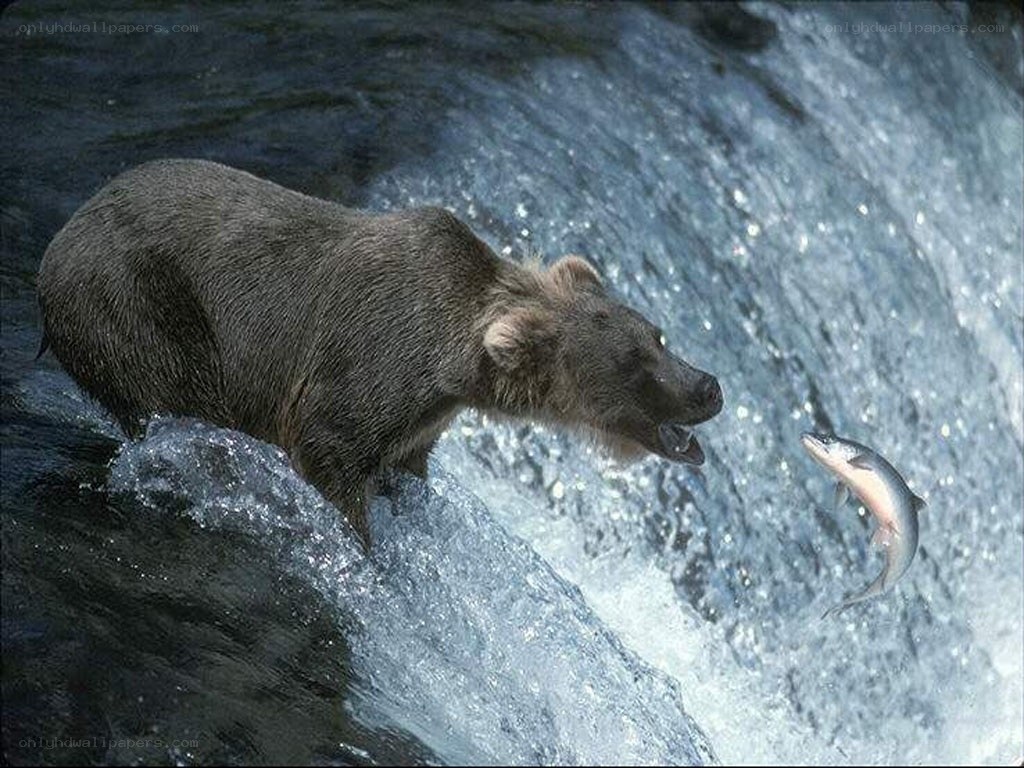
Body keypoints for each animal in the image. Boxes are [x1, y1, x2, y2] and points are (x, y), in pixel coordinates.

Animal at [37, 159, 723, 545]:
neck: (454, 366)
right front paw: (363, 546)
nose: (708, 387)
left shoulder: (422, 417)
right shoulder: (367, 367)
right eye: (634, 365)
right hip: (138, 307)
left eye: (658, 336)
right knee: (177, 398)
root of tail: (59, 240)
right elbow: (329, 448)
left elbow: (407, 463)